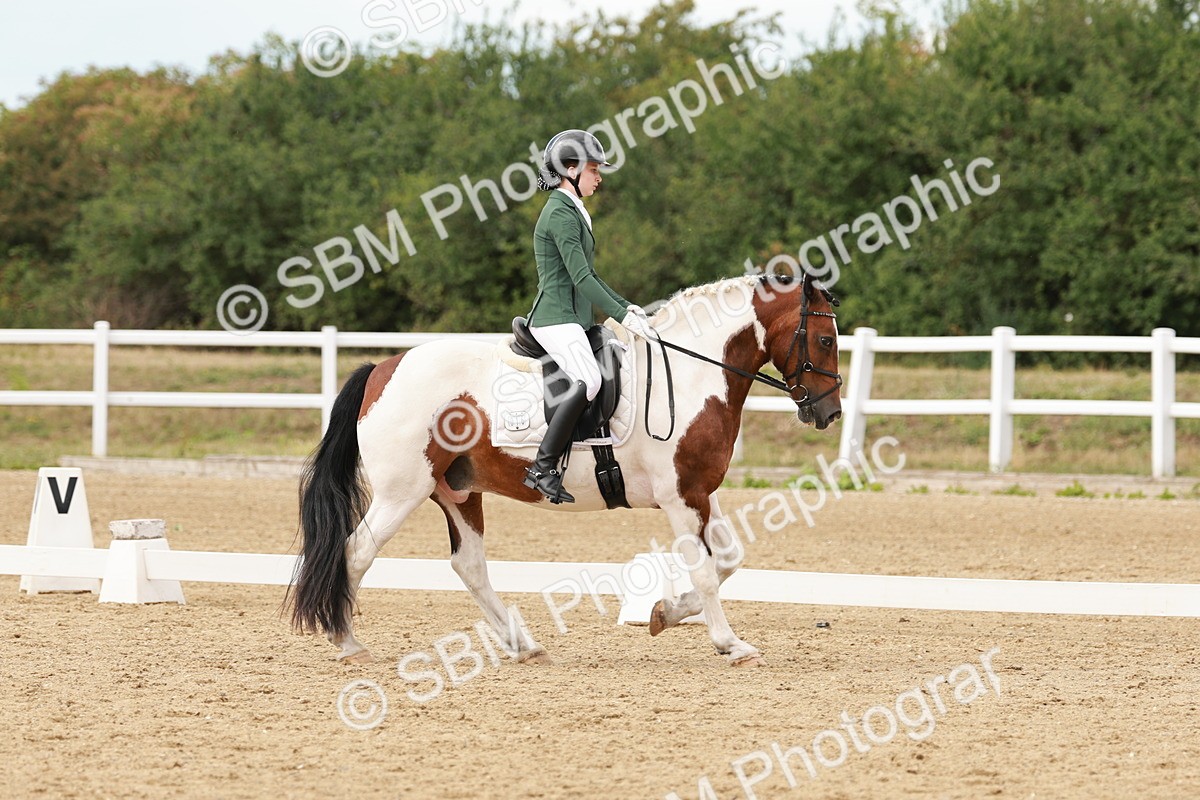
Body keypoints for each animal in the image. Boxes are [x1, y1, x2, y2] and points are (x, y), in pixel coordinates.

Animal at [288, 272, 842, 667]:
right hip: (402, 492)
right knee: (356, 552)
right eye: (824, 341)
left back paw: (522, 644)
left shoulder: (700, 490)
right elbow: (706, 571)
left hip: (458, 491)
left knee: (469, 566)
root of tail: (382, 368)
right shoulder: (680, 496)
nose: (829, 413)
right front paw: (730, 643)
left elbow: (729, 560)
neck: (689, 375)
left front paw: (664, 614)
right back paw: (348, 643)